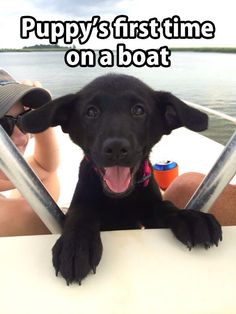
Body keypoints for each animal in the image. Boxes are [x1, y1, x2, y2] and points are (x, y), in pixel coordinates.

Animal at [20, 73, 221, 284]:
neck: (119, 201)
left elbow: (165, 206)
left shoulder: (149, 216)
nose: (116, 147)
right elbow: (81, 212)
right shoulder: (81, 202)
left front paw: (191, 218)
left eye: (138, 110)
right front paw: (76, 245)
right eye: (91, 112)